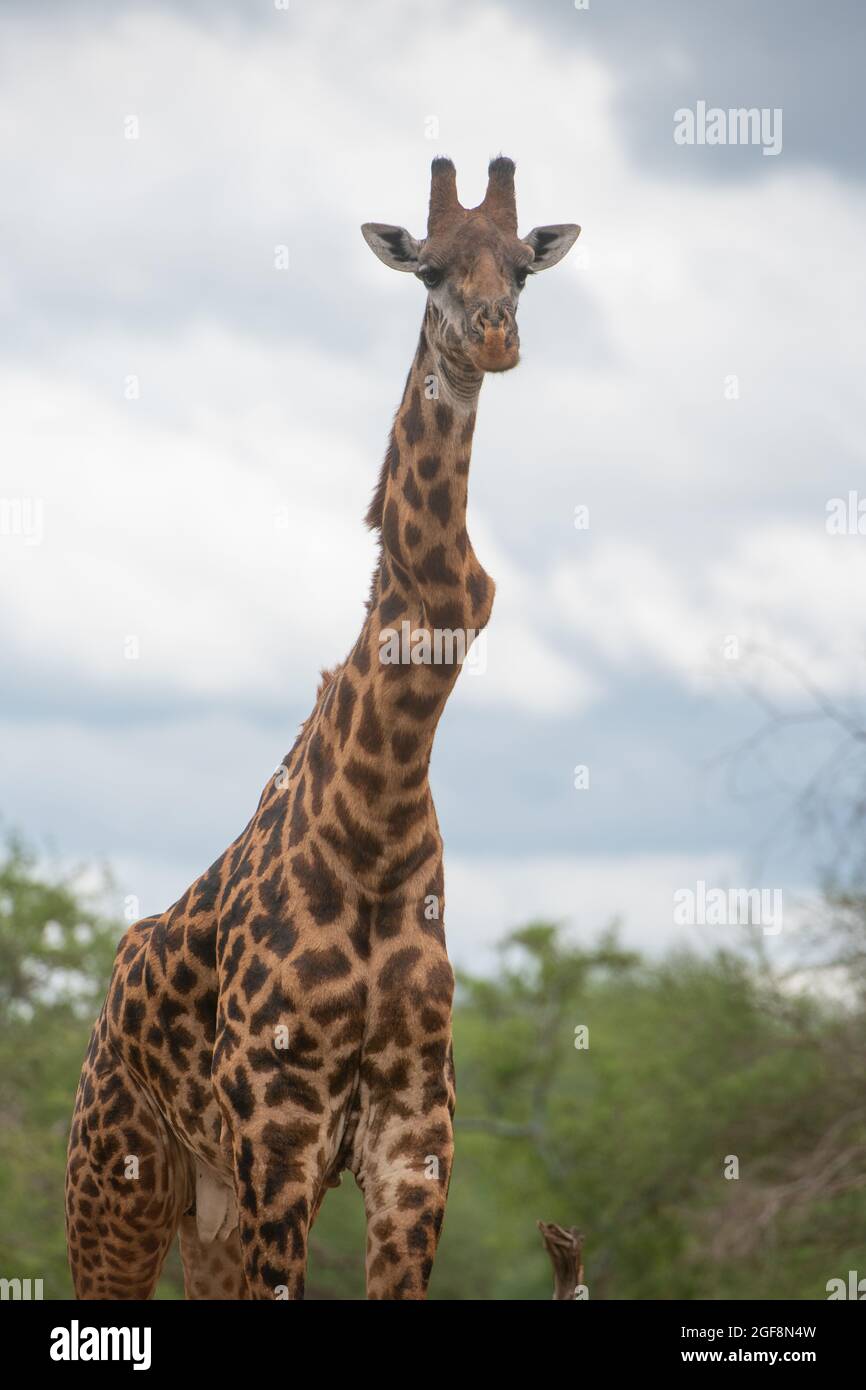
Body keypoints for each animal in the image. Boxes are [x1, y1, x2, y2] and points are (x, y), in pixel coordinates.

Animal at [66, 157, 583, 1295]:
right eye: (428, 266)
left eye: (523, 268)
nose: (493, 338)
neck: (376, 816)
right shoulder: (280, 1129)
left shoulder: (414, 1134)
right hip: (114, 1185)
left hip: (205, 1213)